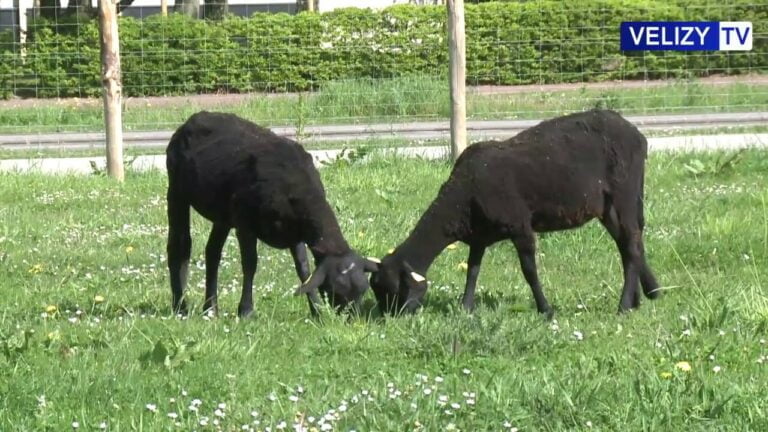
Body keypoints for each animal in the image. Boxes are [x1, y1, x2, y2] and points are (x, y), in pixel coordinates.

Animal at [166, 111, 376, 318]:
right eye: (335, 289)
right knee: (180, 246)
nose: (351, 318)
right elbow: (250, 264)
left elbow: (304, 269)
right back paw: (180, 307)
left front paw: (316, 310)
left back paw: (210, 310)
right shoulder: (245, 224)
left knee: (212, 252)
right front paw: (246, 311)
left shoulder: (295, 232)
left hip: (223, 213)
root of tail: (193, 119)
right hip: (177, 192)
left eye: (363, 290)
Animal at [366, 109, 660, 316]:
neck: (461, 199)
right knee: (627, 243)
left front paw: (545, 310)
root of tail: (637, 134)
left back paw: (624, 306)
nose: (389, 318)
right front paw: (465, 307)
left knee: (631, 245)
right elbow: (473, 270)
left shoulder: (520, 226)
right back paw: (644, 295)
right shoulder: (479, 236)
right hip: (607, 205)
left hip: (624, 192)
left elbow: (529, 270)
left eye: (392, 289)